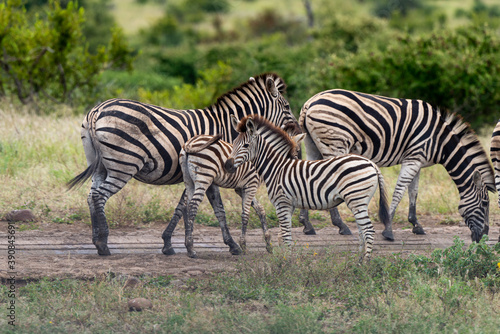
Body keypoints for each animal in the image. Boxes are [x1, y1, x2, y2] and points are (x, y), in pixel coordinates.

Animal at [68, 73, 298, 256]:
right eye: (287, 106)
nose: (296, 129)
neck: (226, 126)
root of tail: (97, 111)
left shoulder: (202, 174)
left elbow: (187, 207)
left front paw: (169, 243)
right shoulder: (210, 171)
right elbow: (206, 207)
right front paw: (231, 244)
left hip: (100, 166)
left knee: (91, 196)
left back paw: (96, 240)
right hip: (123, 165)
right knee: (100, 196)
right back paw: (104, 244)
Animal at [225, 115, 392, 260]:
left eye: (246, 145)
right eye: (233, 142)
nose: (227, 165)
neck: (277, 167)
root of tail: (371, 164)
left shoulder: (282, 203)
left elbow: (286, 235)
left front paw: (286, 264)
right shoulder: (290, 204)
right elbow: (283, 234)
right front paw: (285, 259)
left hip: (357, 199)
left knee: (368, 230)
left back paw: (365, 263)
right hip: (359, 201)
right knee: (362, 230)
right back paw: (359, 261)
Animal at [298, 87, 494, 241]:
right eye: (485, 203)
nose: (484, 236)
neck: (440, 141)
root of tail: (309, 103)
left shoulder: (417, 160)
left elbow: (413, 192)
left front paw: (416, 225)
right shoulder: (413, 158)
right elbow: (399, 191)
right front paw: (388, 228)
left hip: (312, 144)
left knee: (308, 173)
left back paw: (307, 225)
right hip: (335, 143)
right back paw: (341, 225)